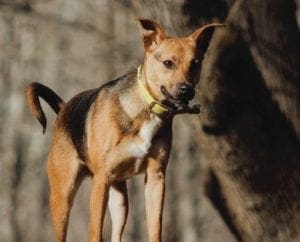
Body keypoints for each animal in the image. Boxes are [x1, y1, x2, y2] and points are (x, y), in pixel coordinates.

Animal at [25, 18, 223, 242]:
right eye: (168, 63)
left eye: (195, 63)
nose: (187, 89)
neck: (147, 107)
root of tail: (64, 107)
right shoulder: (101, 179)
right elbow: (94, 232)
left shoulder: (156, 178)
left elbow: (155, 228)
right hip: (63, 196)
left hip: (119, 199)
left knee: (116, 234)